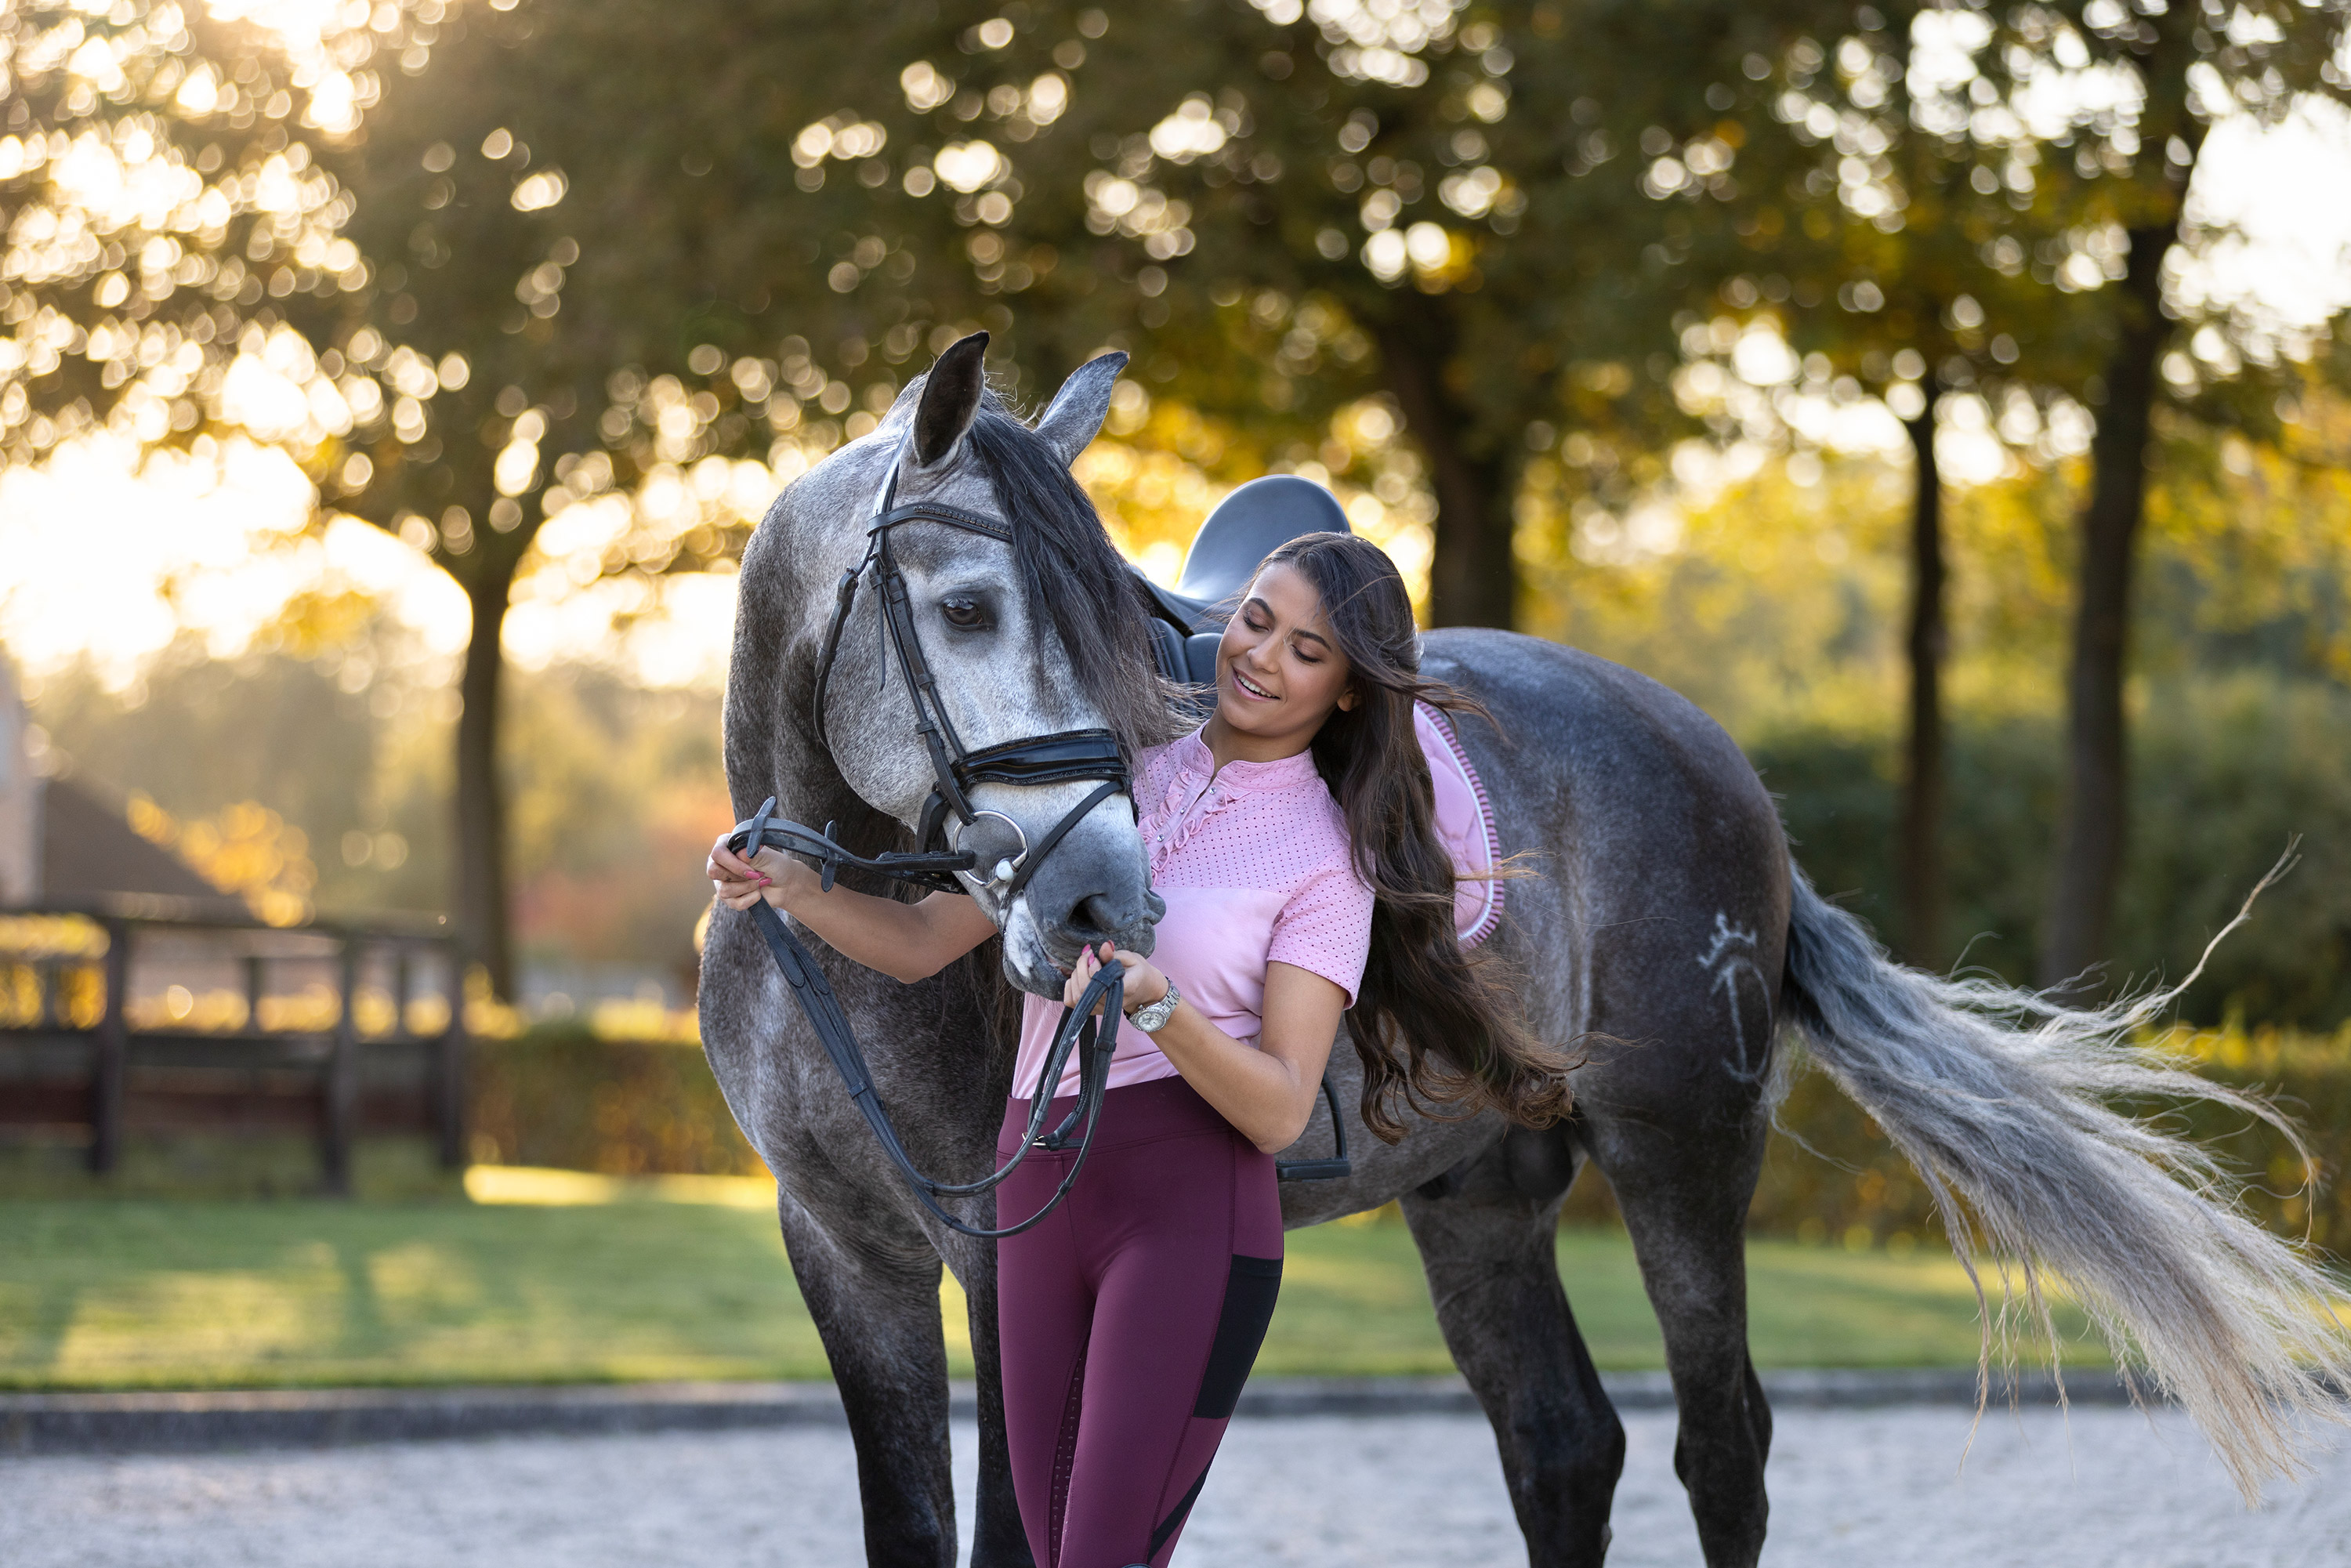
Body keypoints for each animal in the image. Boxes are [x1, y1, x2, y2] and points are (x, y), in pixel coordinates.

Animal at [696, 334, 2351, 1568]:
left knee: (1721, 1443)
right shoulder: (845, 1252)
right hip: (1482, 1190)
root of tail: (1717, 759)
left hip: (1685, 1150)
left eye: (1099, 619)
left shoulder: (1003, 1256)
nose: (1104, 903)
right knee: (1565, 1447)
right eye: (972, 607)